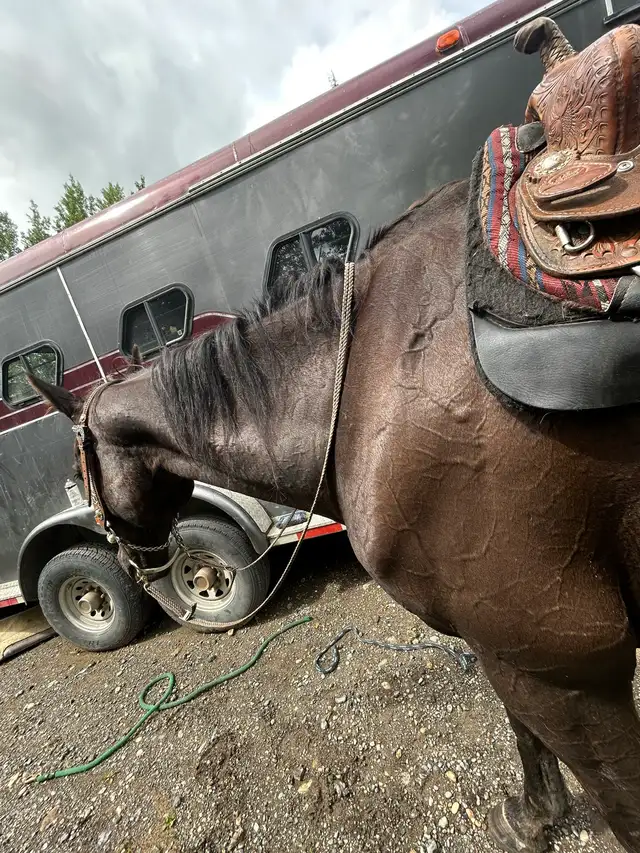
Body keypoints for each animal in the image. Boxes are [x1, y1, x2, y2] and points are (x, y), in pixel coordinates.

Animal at [29, 20, 640, 853]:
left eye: (81, 466)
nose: (141, 569)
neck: (360, 383)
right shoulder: (504, 649)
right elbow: (523, 731)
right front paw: (535, 814)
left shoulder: (569, 664)